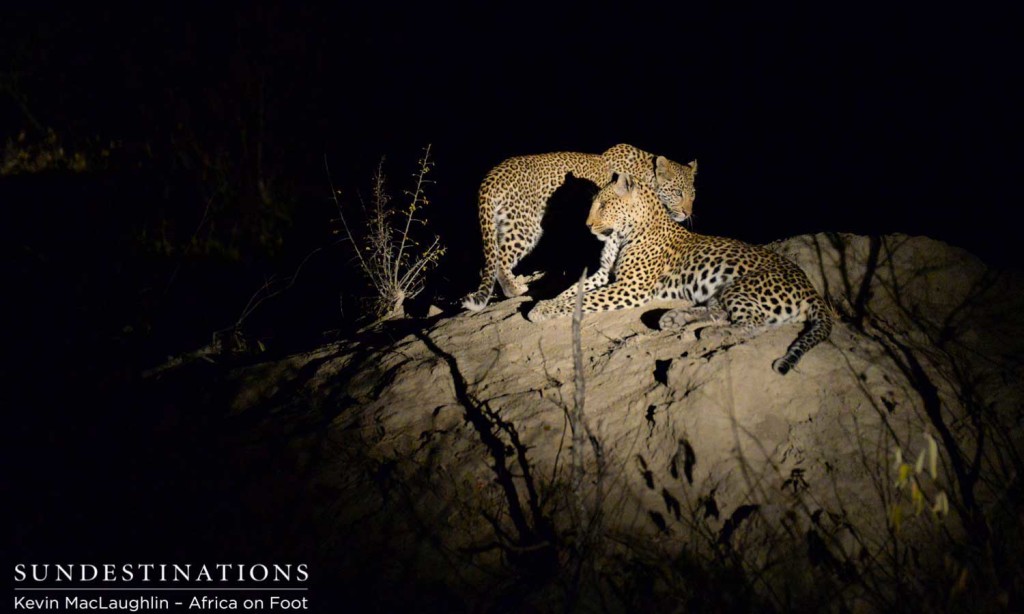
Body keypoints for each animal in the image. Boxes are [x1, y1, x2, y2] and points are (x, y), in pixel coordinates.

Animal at [462, 141, 696, 309]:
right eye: (678, 193)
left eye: (692, 195)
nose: (688, 213)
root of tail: (491, 177)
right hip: (524, 227)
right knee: (501, 259)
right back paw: (515, 289)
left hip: (502, 226)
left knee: (489, 262)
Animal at [528, 172, 831, 374]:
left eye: (603, 205)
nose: (588, 226)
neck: (622, 234)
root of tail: (811, 289)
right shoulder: (603, 274)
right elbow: (570, 291)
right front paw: (545, 303)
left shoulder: (630, 287)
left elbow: (584, 299)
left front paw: (541, 310)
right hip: (722, 290)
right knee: (719, 312)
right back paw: (674, 318)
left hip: (742, 286)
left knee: (755, 323)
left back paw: (712, 334)